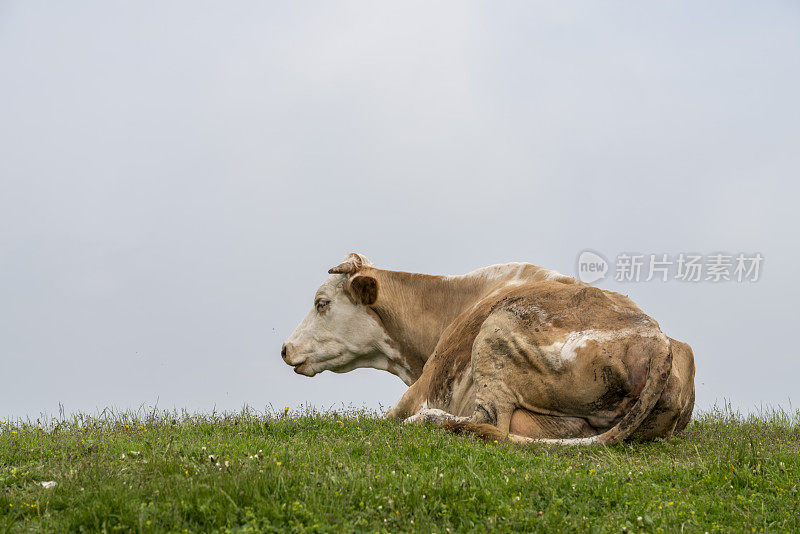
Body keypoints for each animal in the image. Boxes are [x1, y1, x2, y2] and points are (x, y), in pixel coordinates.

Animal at [282, 253, 692, 446]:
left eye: (322, 303)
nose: (285, 348)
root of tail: (655, 341)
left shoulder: (419, 392)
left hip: (498, 331)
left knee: (487, 422)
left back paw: (429, 421)